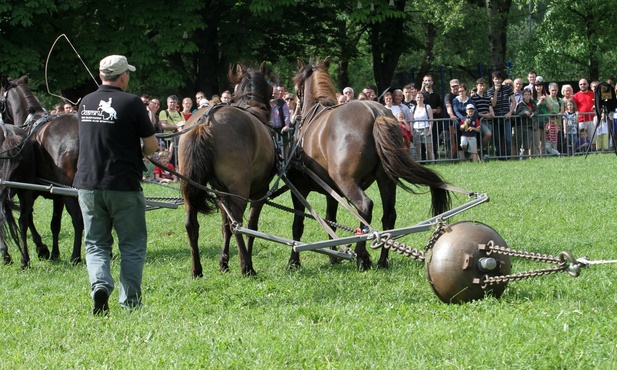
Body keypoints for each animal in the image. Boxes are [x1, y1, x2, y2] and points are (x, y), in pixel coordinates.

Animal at [0, 74, 83, 266]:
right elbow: (55, 223)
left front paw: (41, 249)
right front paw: (53, 252)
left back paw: (76, 256)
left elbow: (28, 218)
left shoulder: (31, 189)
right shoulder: (56, 194)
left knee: (78, 219)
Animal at [178, 65, 274, 276]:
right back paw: (247, 266)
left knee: (191, 224)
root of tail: (204, 123)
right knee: (237, 223)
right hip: (240, 189)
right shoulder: (259, 192)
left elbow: (224, 227)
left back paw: (197, 269)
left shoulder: (221, 191)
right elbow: (251, 225)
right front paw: (242, 259)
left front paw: (224, 262)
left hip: (190, 187)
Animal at [286, 59, 450, 270]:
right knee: (389, 215)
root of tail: (375, 113)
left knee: (365, 207)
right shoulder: (332, 192)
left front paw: (293, 261)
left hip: (347, 181)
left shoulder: (299, 188)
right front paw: (333, 256)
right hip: (385, 180)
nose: (294, 116)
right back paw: (382, 260)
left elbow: (298, 224)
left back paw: (362, 255)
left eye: (296, 87)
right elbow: (330, 221)